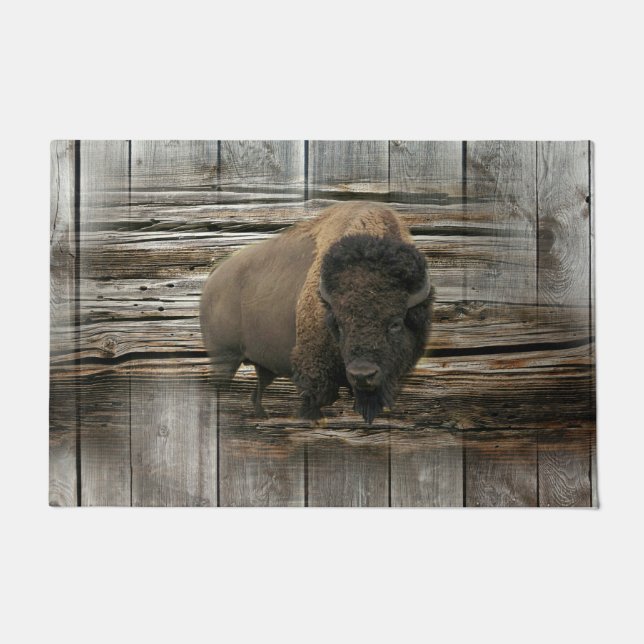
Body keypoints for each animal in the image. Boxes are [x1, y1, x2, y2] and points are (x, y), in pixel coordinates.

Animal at [200, 201, 432, 424]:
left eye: (395, 324)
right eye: (338, 324)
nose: (362, 374)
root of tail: (214, 275)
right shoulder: (314, 371)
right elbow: (315, 400)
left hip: (260, 364)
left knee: (257, 391)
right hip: (224, 359)